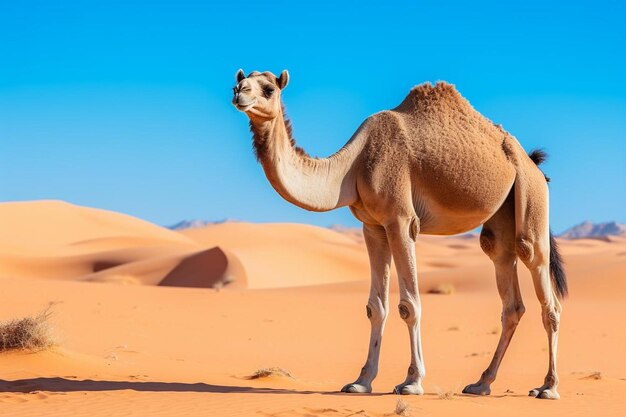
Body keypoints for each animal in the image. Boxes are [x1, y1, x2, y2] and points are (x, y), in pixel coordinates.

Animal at [229, 70, 564, 398]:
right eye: (239, 81)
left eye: (269, 88)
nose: (239, 94)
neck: (353, 167)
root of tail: (534, 163)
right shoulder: (372, 226)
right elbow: (375, 307)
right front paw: (361, 381)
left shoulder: (401, 219)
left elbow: (409, 305)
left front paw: (412, 382)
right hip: (502, 215)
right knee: (508, 290)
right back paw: (481, 384)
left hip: (531, 195)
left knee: (542, 283)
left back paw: (547, 387)